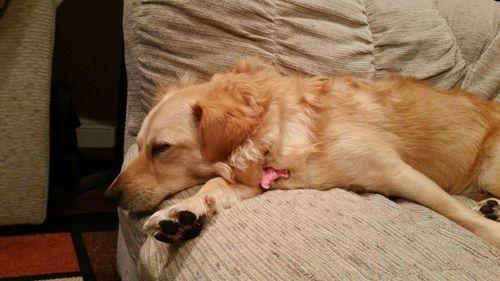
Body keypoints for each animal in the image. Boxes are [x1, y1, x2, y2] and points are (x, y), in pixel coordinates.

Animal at [105, 58, 500, 246]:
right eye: (140, 145)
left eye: (161, 148)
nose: (110, 196)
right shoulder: (258, 179)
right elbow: (212, 187)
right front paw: (181, 212)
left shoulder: (400, 173)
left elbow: (459, 216)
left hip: (489, 169)